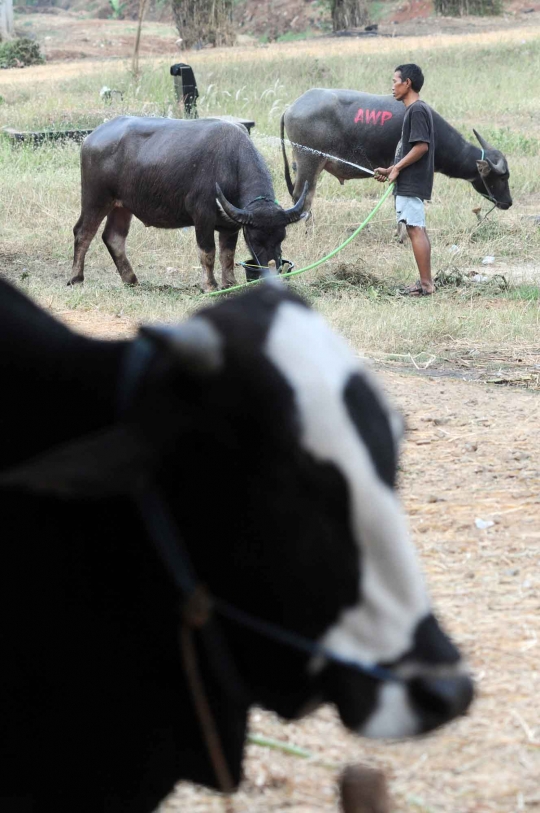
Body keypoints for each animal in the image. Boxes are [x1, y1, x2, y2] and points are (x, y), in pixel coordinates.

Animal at [69, 114, 308, 292]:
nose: (273, 266)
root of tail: (91, 138)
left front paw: (229, 283)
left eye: (282, 237)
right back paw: (76, 278)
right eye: (256, 239)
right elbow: (208, 253)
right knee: (83, 232)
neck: (230, 164)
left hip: (122, 206)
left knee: (113, 237)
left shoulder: (230, 225)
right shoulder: (202, 216)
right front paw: (210, 286)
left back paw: (131, 280)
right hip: (95, 198)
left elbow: (227, 255)